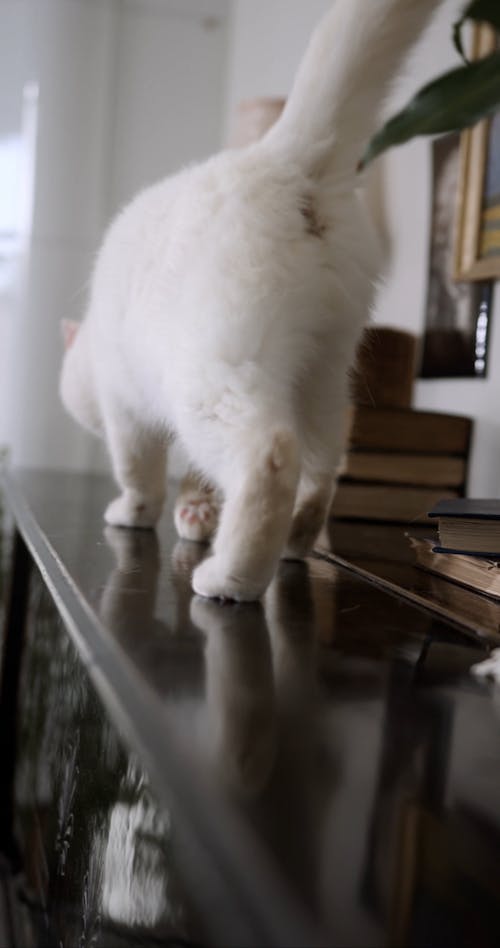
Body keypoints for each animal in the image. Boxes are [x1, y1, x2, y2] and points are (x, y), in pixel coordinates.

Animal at [61, 1, 442, 600]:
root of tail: (280, 158)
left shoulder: (127, 413)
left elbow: (140, 477)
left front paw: (133, 514)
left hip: (215, 382)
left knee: (271, 455)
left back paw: (232, 577)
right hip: (323, 376)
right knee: (322, 466)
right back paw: (294, 544)